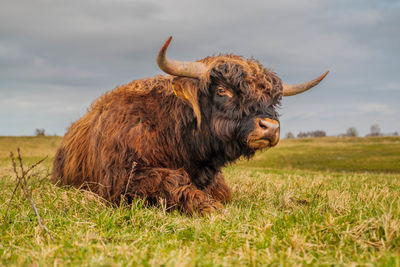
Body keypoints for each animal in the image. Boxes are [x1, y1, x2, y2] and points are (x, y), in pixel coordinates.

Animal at [52, 36, 328, 216]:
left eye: (271, 98)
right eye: (222, 90)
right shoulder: (120, 179)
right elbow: (171, 180)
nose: (269, 127)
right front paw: (207, 206)